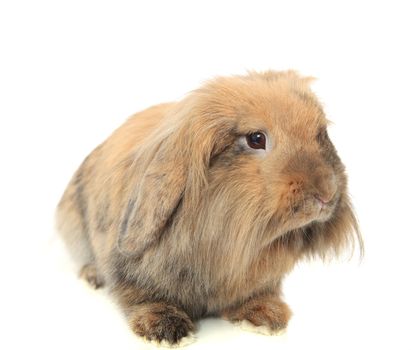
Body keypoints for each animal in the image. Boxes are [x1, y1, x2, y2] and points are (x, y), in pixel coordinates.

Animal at [56, 69, 362, 346]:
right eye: (256, 139)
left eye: (320, 133)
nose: (326, 193)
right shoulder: (131, 273)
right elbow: (141, 297)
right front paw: (168, 331)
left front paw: (266, 318)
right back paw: (92, 277)